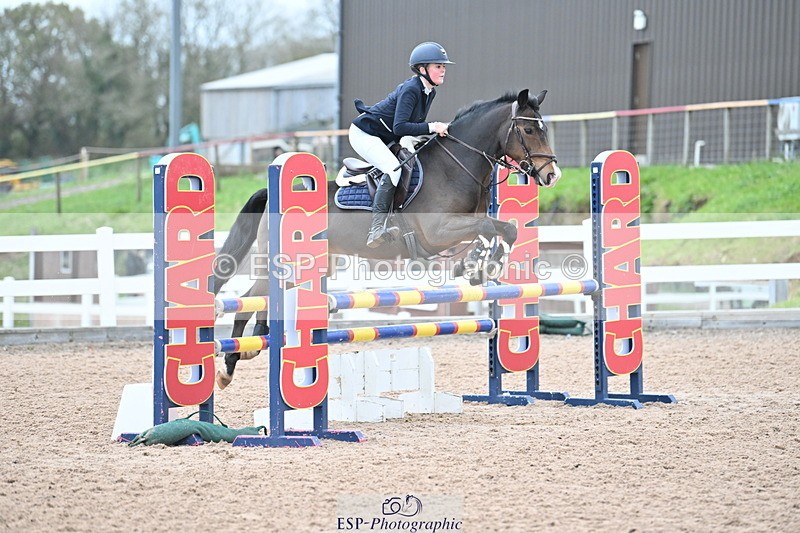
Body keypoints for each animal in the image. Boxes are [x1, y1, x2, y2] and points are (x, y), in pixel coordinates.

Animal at [212, 88, 561, 389]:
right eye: (529, 130)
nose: (551, 175)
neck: (456, 166)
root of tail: (273, 194)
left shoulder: (462, 226)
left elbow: (504, 230)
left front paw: (479, 266)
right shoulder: (437, 232)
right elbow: (489, 229)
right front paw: (479, 265)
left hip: (308, 265)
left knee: (265, 297)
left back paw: (253, 343)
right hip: (285, 260)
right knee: (248, 299)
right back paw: (229, 366)